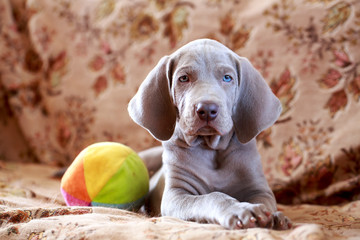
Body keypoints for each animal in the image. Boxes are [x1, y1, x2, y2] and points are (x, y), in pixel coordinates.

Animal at [128, 38, 292, 230]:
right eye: (184, 78)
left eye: (227, 78)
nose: (207, 109)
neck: (211, 147)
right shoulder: (176, 195)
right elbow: (212, 197)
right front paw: (240, 210)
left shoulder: (259, 189)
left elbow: (265, 203)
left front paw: (274, 217)